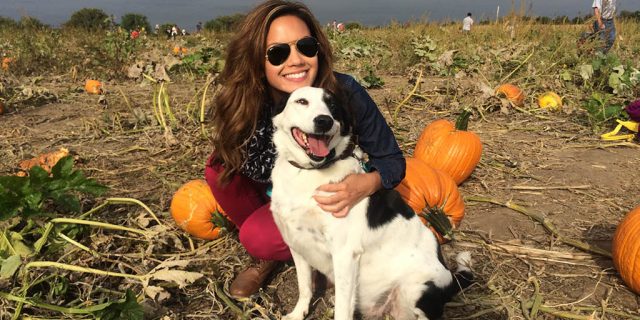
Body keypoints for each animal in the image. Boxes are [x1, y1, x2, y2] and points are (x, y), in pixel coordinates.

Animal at [270, 87, 470, 320]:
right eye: (301, 101)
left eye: (333, 107)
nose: (324, 121)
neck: (308, 172)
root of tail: (451, 279)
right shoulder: (297, 243)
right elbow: (304, 286)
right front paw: (297, 313)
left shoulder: (344, 254)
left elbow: (342, 310)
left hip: (416, 291)